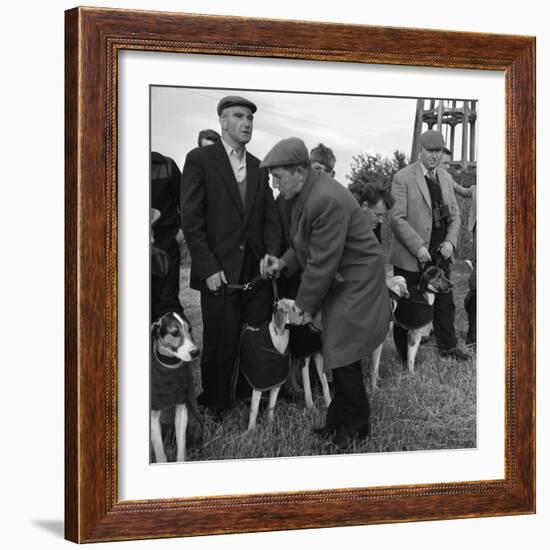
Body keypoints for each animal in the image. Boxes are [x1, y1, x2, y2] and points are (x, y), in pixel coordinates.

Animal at [151, 312, 203, 464]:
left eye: (190, 329)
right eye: (175, 332)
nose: (196, 352)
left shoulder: (182, 410)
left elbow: (181, 448)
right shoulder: (153, 417)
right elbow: (160, 454)